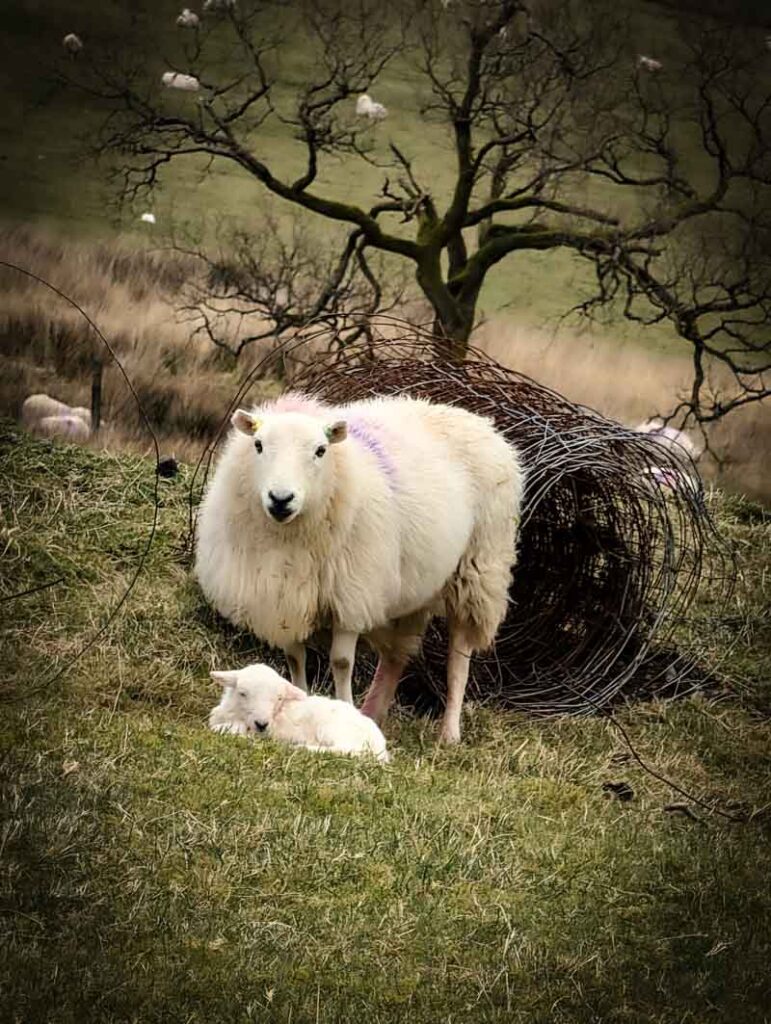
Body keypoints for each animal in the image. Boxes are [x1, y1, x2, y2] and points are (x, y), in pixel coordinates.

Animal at [195, 393, 525, 744]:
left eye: (320, 450)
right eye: (258, 445)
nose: (281, 499)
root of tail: (476, 420)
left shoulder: (351, 593)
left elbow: (341, 662)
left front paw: (344, 706)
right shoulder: (284, 598)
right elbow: (296, 658)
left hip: (477, 570)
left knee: (458, 660)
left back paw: (448, 732)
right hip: (413, 587)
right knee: (395, 657)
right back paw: (373, 712)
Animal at [209, 662, 390, 762]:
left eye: (279, 698)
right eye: (243, 693)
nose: (261, 724)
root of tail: (380, 746)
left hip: (335, 729)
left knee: (347, 750)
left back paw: (301, 747)